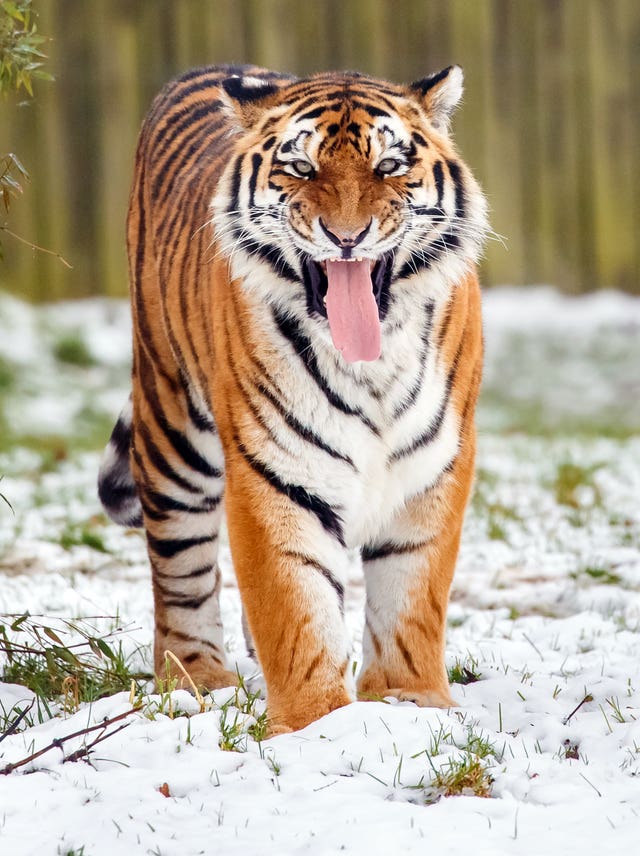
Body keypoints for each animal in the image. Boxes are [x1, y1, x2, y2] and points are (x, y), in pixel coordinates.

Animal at [98, 63, 488, 734]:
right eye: (301, 168)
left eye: (389, 166)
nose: (347, 237)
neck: (371, 366)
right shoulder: (274, 471)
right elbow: (294, 606)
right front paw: (316, 726)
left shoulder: (434, 464)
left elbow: (412, 592)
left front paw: (410, 701)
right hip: (174, 427)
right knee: (179, 566)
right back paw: (197, 679)